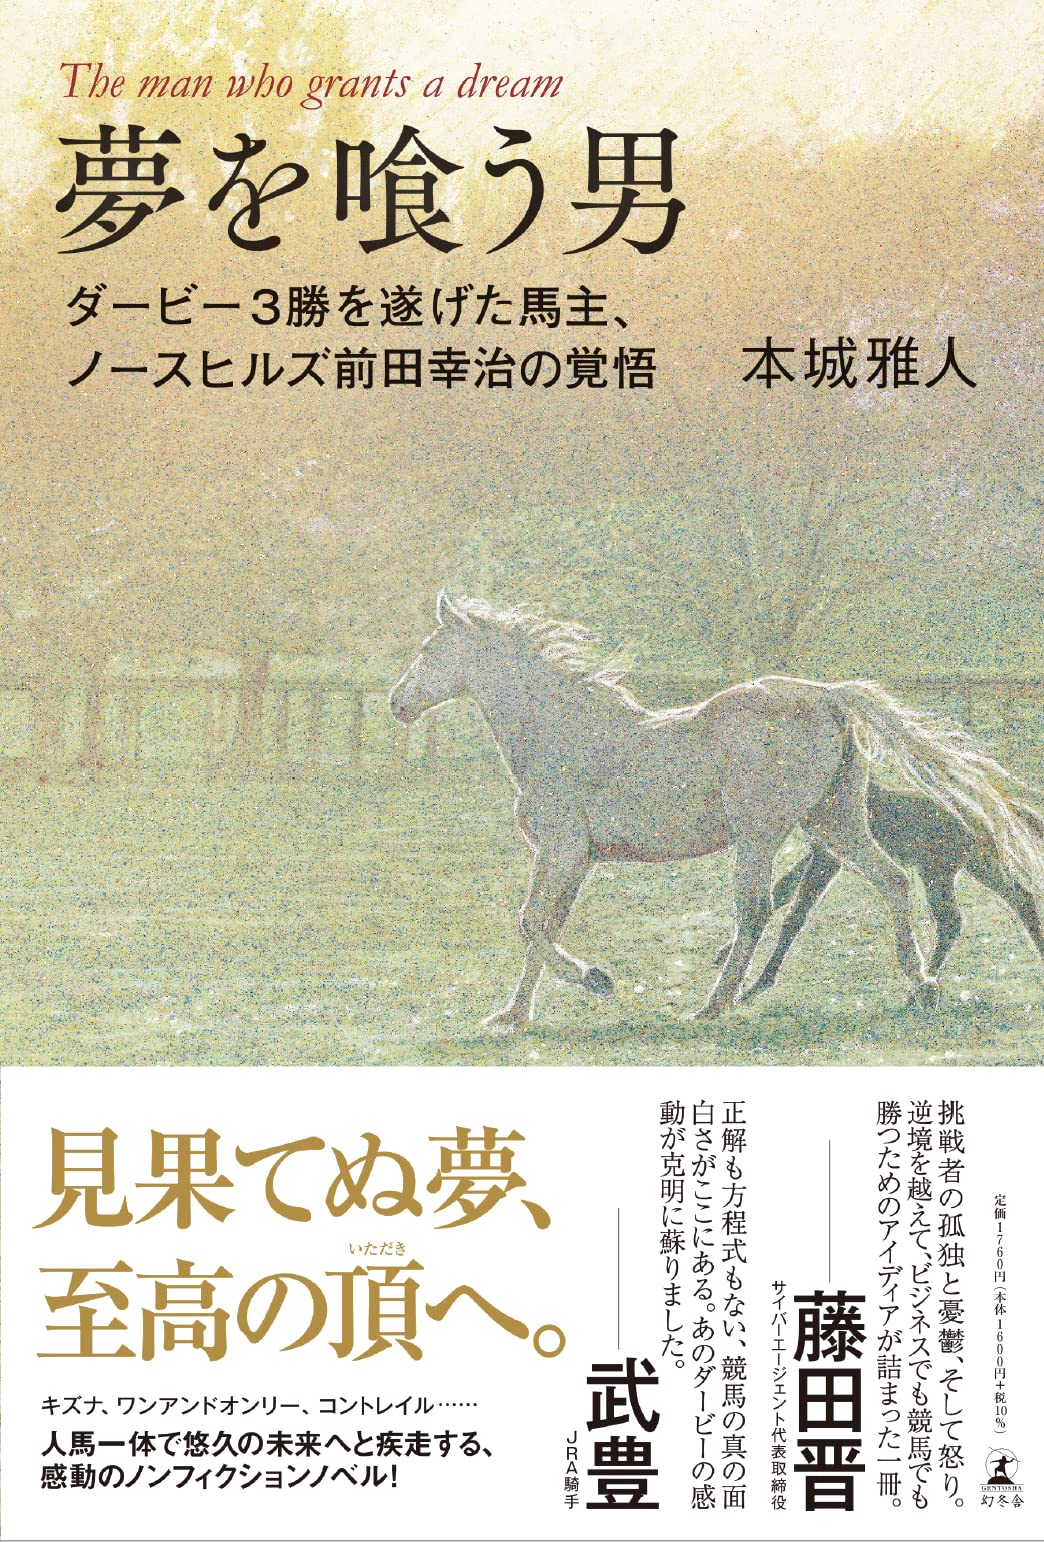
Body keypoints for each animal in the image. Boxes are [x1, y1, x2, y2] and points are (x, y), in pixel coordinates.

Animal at [718, 779, 1044, 998]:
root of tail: (996, 809)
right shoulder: (820, 853)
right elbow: (780, 892)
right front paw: (726, 954)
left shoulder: (828, 857)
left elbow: (794, 915)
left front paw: (756, 985)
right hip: (981, 864)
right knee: (1022, 898)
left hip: (937, 872)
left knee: (951, 920)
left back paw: (922, 986)